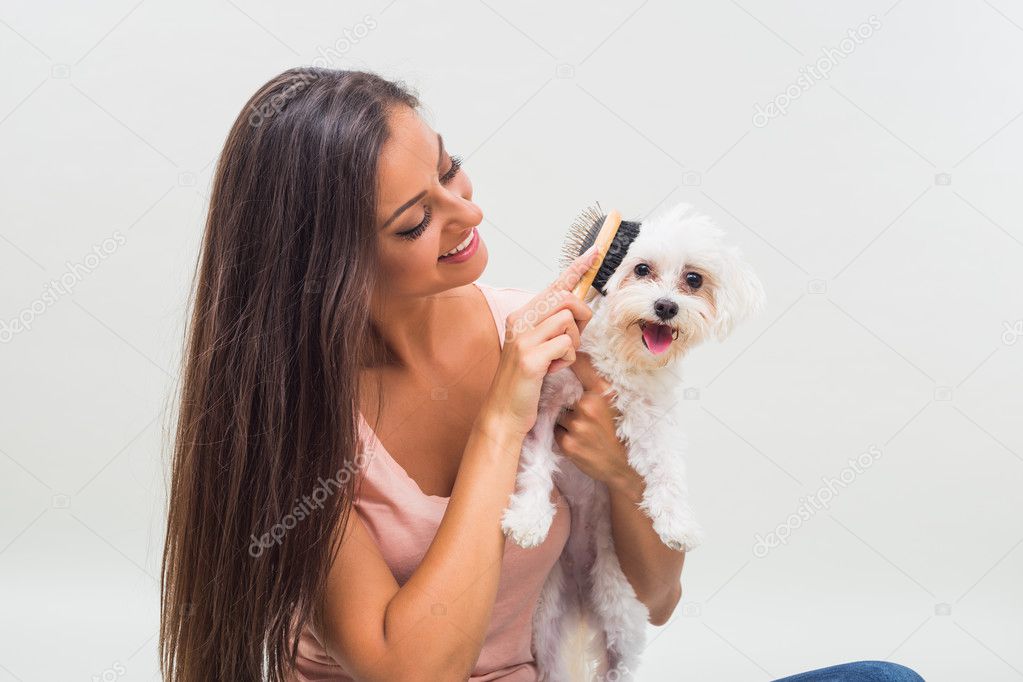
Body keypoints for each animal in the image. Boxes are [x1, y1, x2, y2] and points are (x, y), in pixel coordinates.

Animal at [499, 200, 765, 678]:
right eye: (641, 269)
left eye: (693, 279)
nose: (666, 306)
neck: (622, 359)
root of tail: (582, 599)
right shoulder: (547, 404)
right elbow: (535, 467)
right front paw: (528, 520)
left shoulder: (650, 416)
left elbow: (665, 465)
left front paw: (676, 521)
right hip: (546, 623)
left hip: (620, 615)